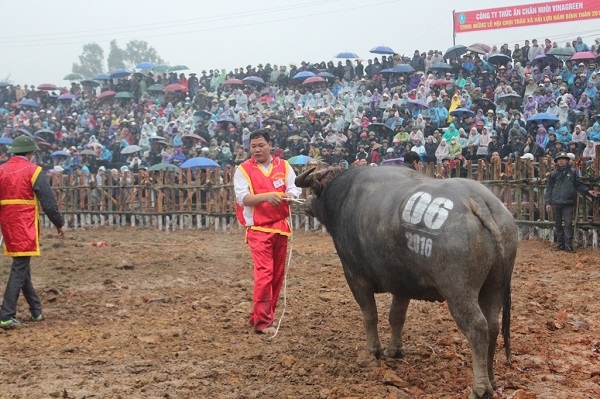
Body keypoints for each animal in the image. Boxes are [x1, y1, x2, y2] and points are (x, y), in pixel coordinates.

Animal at [298, 166, 516, 399]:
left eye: (314, 190)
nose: (306, 203)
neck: (343, 196)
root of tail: (477, 199)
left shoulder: (355, 277)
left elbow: (370, 315)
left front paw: (374, 350)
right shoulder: (401, 284)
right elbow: (397, 317)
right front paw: (395, 350)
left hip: (459, 292)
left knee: (477, 327)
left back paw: (480, 388)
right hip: (494, 287)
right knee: (493, 325)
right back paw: (492, 378)